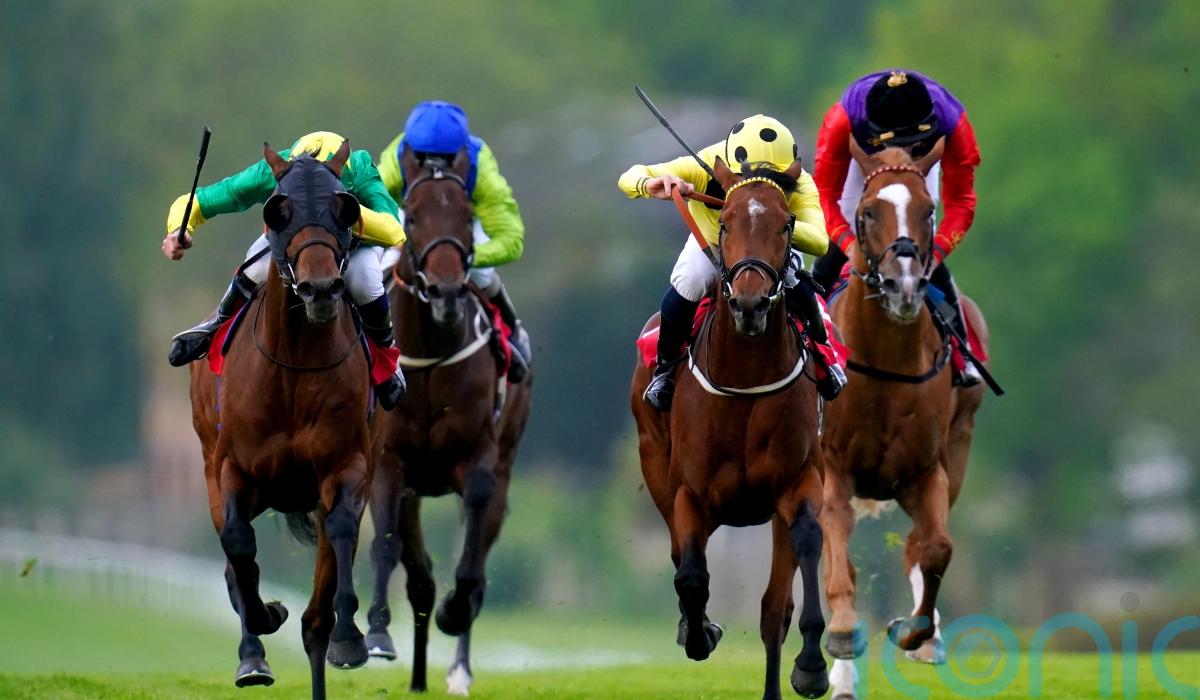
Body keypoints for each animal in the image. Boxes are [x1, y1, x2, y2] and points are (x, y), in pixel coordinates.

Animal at [188, 142, 373, 700]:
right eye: (278, 209)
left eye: (344, 209)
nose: (319, 289)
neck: (294, 366)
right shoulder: (231, 468)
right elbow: (237, 545)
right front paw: (262, 625)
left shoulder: (347, 465)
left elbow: (340, 534)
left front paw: (350, 636)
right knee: (235, 559)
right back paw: (255, 644)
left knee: (315, 620)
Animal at [364, 146, 532, 696]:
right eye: (412, 217)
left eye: (465, 216)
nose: (444, 293)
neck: (431, 360)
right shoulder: (390, 464)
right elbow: (386, 549)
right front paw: (376, 633)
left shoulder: (479, 457)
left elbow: (470, 564)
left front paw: (455, 612)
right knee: (419, 577)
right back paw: (417, 675)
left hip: (505, 461)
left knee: (475, 554)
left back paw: (457, 667)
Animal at [631, 157, 830, 700]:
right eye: (725, 221)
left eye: (786, 224)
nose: (750, 304)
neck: (745, 378)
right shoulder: (690, 493)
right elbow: (691, 575)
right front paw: (700, 633)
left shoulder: (799, 480)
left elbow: (805, 546)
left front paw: (811, 665)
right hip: (657, 467)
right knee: (681, 557)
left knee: (774, 609)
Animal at [818, 139, 989, 699]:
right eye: (869, 211)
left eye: (928, 210)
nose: (905, 283)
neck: (886, 366)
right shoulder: (833, 469)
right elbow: (836, 552)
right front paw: (843, 640)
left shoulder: (925, 470)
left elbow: (935, 548)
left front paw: (915, 633)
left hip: (960, 446)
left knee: (922, 543)